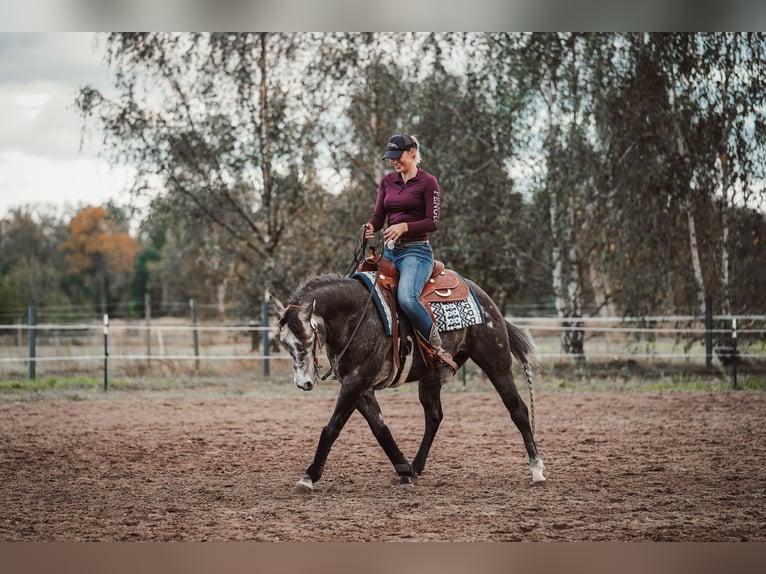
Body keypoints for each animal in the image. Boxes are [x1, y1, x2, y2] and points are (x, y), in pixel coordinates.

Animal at [270, 274, 544, 496]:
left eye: (308, 337)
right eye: (284, 342)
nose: (303, 383)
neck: (355, 317)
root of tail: (484, 297)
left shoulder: (355, 382)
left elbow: (331, 429)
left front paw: (308, 477)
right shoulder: (360, 388)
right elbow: (381, 430)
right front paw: (404, 472)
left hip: (496, 364)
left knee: (518, 410)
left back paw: (537, 470)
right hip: (431, 377)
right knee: (434, 416)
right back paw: (416, 466)